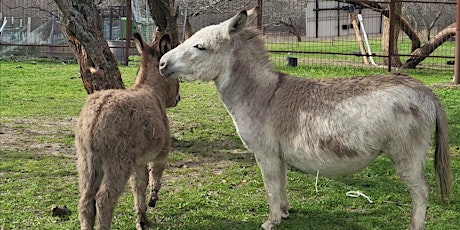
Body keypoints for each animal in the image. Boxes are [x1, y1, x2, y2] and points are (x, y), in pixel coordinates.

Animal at [74, 32, 179, 230]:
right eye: (176, 79)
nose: (178, 98)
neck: (152, 90)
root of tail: (96, 117)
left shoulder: (138, 161)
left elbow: (139, 184)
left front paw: (142, 218)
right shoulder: (162, 153)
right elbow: (155, 176)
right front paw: (152, 200)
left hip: (86, 162)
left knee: (85, 201)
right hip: (117, 163)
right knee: (103, 200)